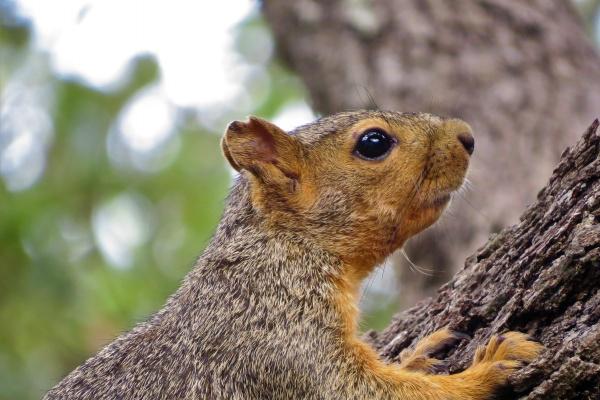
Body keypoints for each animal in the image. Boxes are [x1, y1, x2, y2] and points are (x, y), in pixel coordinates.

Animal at [45, 111, 544, 400]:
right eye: (374, 143)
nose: (467, 136)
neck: (284, 251)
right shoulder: (278, 335)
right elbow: (359, 392)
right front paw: (486, 370)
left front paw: (415, 357)